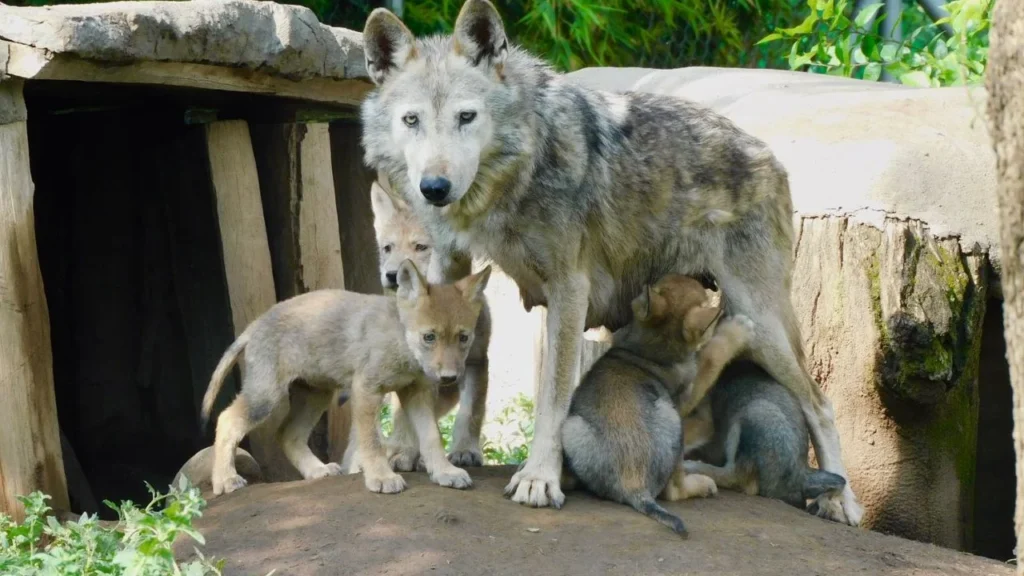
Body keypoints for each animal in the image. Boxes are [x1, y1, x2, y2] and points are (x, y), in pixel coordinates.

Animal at [200, 259, 491, 496]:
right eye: (429, 337)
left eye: (463, 338)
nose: (449, 378)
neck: (400, 342)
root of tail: (254, 325)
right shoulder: (366, 390)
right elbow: (372, 442)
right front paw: (381, 477)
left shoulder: (416, 393)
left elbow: (431, 437)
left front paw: (445, 472)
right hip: (266, 397)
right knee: (227, 420)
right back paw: (225, 480)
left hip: (315, 396)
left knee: (287, 434)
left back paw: (317, 471)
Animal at [562, 274, 753, 537]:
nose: (710, 284)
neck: (649, 350)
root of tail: (633, 485)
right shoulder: (686, 396)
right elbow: (711, 357)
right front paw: (738, 330)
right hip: (672, 420)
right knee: (674, 491)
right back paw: (703, 484)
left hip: (571, 427)